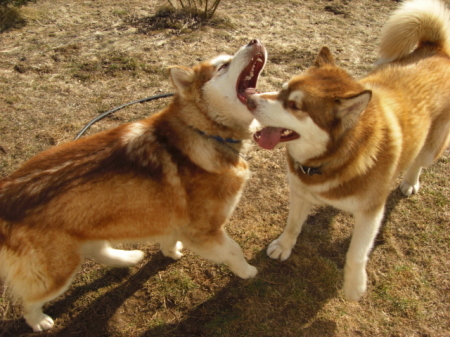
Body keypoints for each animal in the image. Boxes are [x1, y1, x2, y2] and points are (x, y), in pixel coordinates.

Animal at [0, 38, 268, 330]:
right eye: (223, 66)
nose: (254, 40)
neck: (202, 130)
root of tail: (6, 191)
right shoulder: (205, 231)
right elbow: (234, 251)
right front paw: (247, 271)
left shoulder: (174, 218)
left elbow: (169, 237)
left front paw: (170, 251)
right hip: (57, 270)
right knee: (30, 300)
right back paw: (39, 321)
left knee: (96, 249)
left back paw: (126, 259)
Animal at [246, 0, 450, 300]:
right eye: (282, 90)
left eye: (295, 106)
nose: (248, 99)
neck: (329, 161)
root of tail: (436, 50)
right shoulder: (300, 191)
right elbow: (293, 224)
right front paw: (284, 245)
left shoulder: (371, 211)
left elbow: (356, 253)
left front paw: (354, 286)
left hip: (431, 147)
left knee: (418, 161)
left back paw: (410, 182)